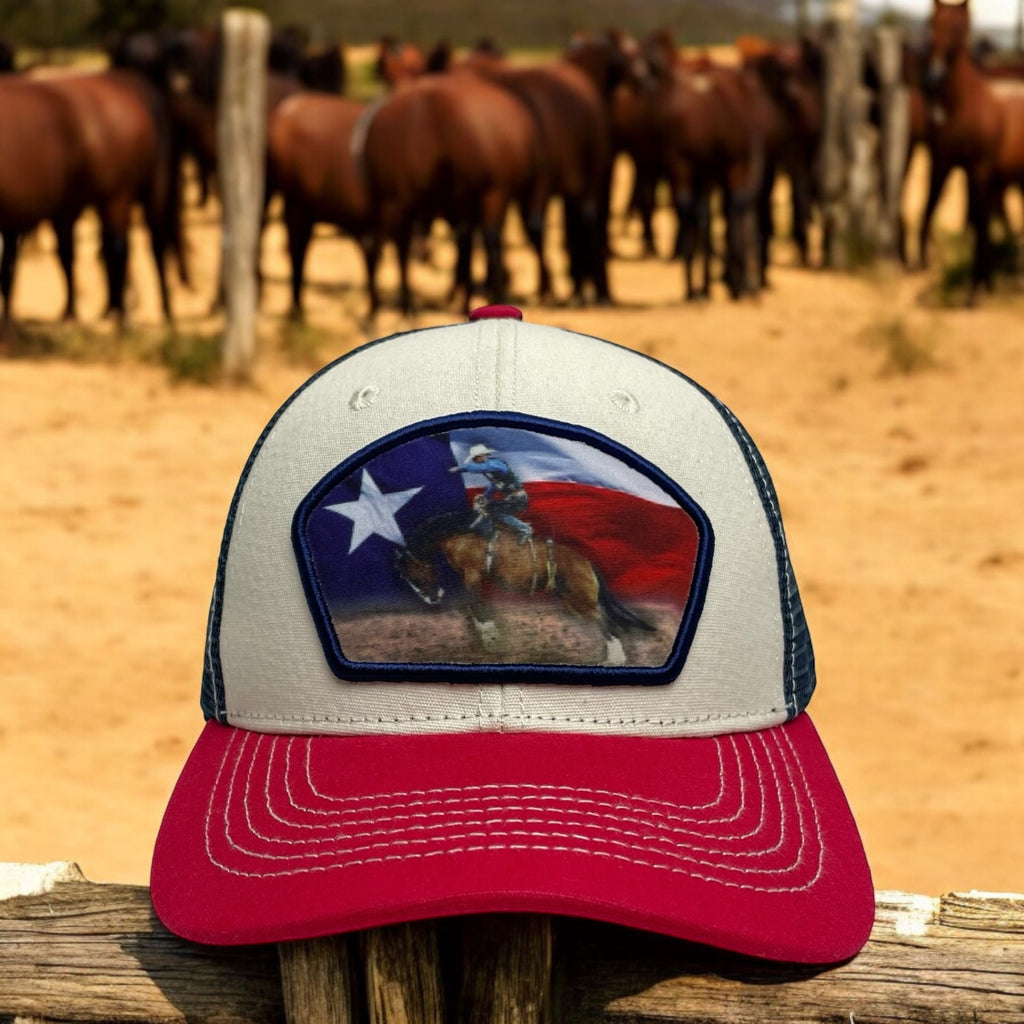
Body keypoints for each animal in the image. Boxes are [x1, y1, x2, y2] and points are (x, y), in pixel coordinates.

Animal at [395, 512, 651, 663]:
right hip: (573, 600)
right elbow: (473, 605)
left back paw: (614, 659)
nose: (431, 599)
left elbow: (473, 603)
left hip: (581, 601)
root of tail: (586, 562)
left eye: (413, 575)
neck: (461, 534)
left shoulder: (473, 574)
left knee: (606, 623)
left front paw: (491, 639)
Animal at [925, 0, 1024, 303]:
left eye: (959, 28)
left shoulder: (980, 170)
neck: (964, 105)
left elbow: (979, 221)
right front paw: (984, 282)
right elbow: (932, 210)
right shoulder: (946, 164)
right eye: (931, 23)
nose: (933, 76)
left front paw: (974, 289)